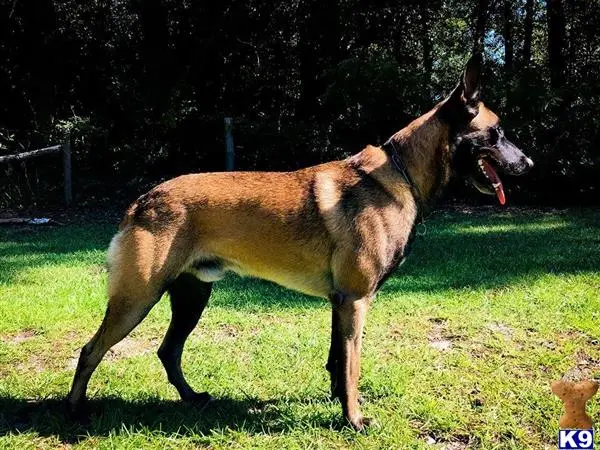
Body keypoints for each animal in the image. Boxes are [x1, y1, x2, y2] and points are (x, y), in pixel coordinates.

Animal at [67, 54, 536, 430]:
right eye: (497, 133)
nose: (530, 164)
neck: (399, 174)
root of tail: (142, 200)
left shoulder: (340, 303)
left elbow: (336, 363)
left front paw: (339, 405)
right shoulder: (355, 301)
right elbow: (351, 365)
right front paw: (355, 420)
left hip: (190, 297)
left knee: (168, 351)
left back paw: (193, 398)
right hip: (137, 299)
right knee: (91, 350)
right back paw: (75, 412)